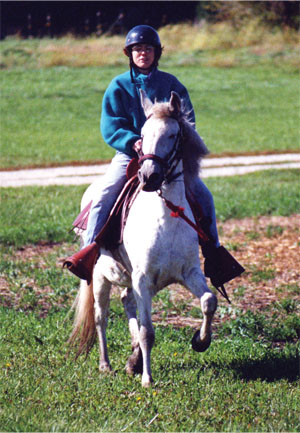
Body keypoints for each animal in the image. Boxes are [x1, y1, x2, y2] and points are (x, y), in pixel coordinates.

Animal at [69, 89, 217, 386]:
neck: (165, 219)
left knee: (127, 302)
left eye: (172, 135)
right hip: (101, 278)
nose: (148, 176)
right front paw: (147, 379)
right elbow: (148, 331)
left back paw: (133, 357)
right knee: (101, 317)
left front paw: (200, 340)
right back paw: (106, 364)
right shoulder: (142, 278)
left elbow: (209, 301)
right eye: (143, 134)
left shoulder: (188, 273)